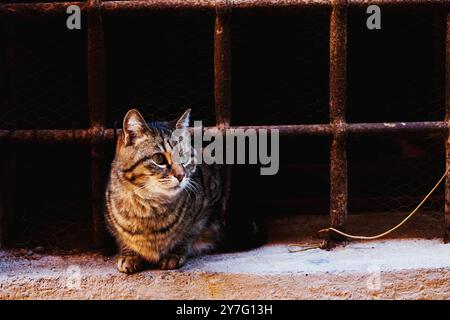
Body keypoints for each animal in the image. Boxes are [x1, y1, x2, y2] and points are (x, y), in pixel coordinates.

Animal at [106, 109, 225, 272]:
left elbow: (187, 233)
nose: (181, 175)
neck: (149, 205)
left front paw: (173, 254)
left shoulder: (206, 207)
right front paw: (130, 255)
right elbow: (122, 237)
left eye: (184, 156)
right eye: (159, 159)